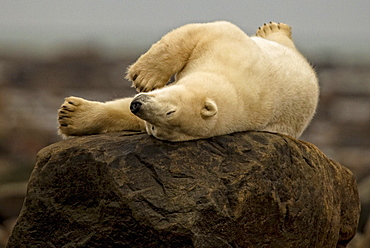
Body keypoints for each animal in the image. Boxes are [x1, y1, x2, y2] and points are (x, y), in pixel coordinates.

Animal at [57, 21, 318, 141]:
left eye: (158, 126)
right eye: (171, 111)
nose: (137, 105)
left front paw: (70, 116)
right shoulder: (233, 53)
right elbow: (199, 33)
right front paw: (145, 76)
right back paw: (274, 28)